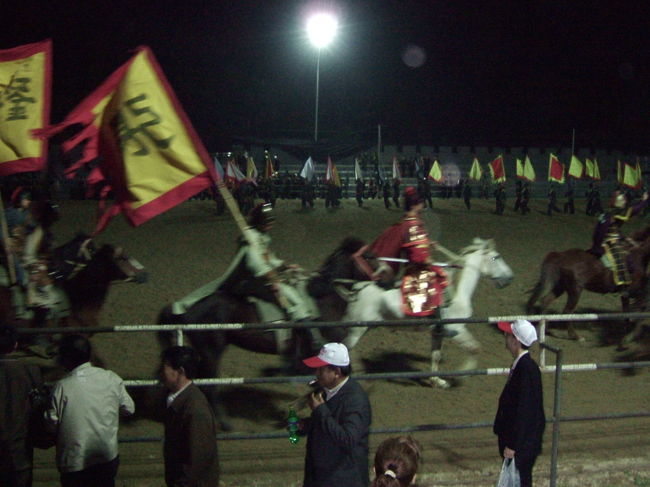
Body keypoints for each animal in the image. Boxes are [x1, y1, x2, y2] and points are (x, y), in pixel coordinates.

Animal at [340, 238, 512, 390]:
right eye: (496, 257)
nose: (509, 278)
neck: (455, 292)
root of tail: (357, 289)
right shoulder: (457, 330)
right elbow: (475, 348)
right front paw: (462, 375)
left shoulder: (437, 333)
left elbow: (435, 356)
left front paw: (437, 381)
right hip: (357, 329)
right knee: (346, 347)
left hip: (365, 327)